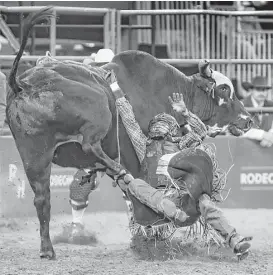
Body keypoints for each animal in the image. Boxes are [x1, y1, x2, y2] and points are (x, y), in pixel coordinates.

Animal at [6, 7, 253, 260]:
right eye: (224, 90)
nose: (248, 119)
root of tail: (24, 84)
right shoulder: (136, 156)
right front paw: (149, 235)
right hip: (98, 107)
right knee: (90, 146)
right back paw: (115, 169)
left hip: (35, 155)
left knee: (42, 199)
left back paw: (47, 249)